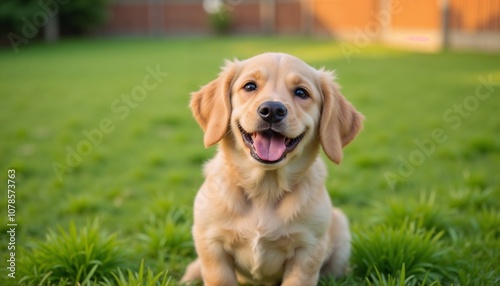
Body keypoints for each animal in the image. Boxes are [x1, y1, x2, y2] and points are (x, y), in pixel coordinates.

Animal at [180, 52, 364, 284]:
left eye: (301, 92)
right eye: (250, 86)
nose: (273, 111)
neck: (265, 189)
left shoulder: (308, 249)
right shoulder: (211, 243)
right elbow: (219, 277)